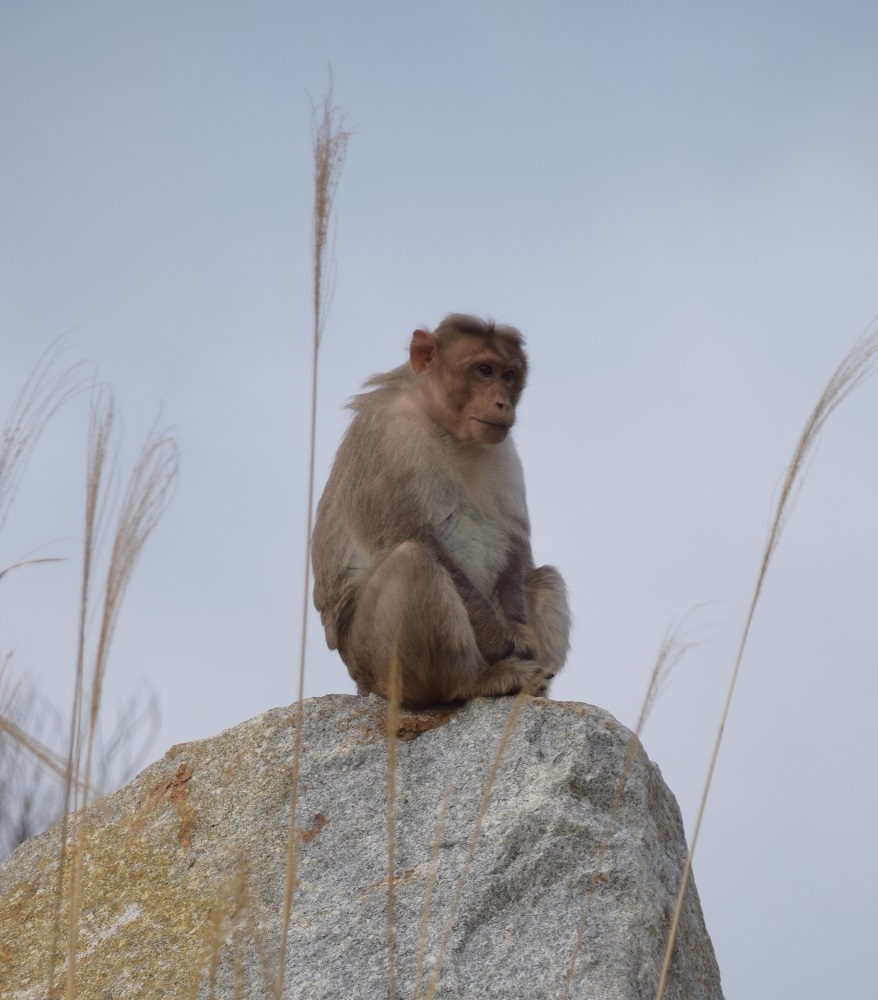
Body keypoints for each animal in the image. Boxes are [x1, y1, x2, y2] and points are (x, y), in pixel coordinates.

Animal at [312, 312, 576, 712]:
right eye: (484, 370)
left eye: (508, 375)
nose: (503, 403)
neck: (443, 425)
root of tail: (360, 682)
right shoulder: (389, 437)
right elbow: (416, 536)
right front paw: (506, 643)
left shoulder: (504, 450)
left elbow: (516, 545)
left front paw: (520, 633)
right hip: (376, 664)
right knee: (413, 559)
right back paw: (473, 682)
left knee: (544, 576)